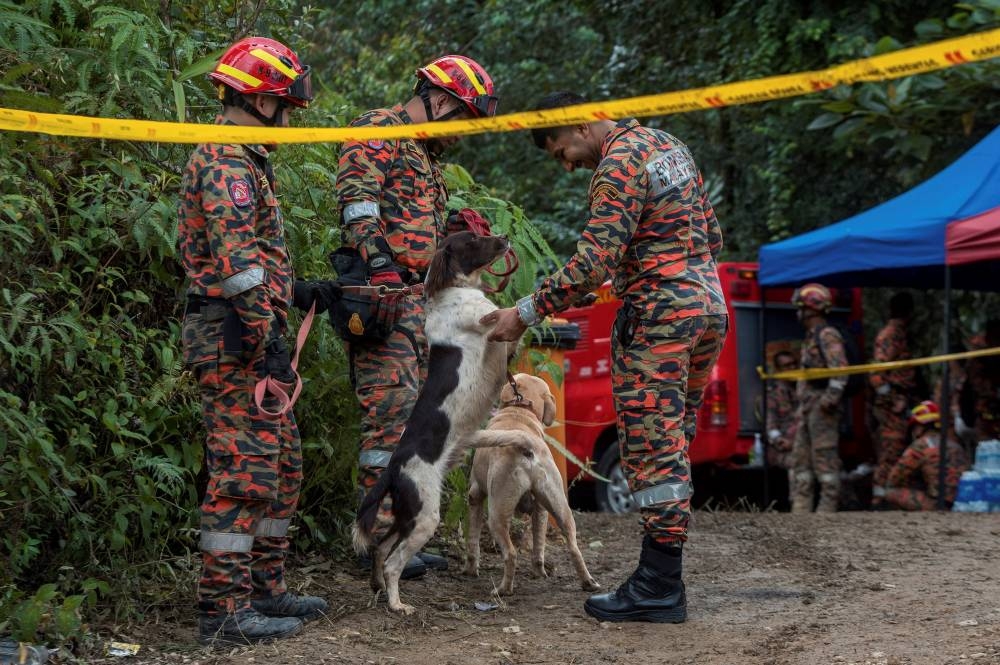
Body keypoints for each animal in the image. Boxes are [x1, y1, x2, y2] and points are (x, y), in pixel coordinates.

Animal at [354, 231, 524, 616]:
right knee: (393, 562)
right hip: (426, 515)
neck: (453, 291)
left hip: (408, 516)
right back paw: (397, 604)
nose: (506, 238)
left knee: (380, 549)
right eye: (473, 240)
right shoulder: (490, 320)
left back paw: (377, 588)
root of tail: (393, 470)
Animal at [464, 374, 596, 596]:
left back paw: (503, 590)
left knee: (511, 554)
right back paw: (588, 582)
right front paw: (539, 573)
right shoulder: (540, 509)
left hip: (496, 513)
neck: (518, 411)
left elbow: (473, 543)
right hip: (561, 507)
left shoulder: (475, 495)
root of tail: (526, 443)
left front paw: (470, 570)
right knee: (573, 547)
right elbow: (539, 544)